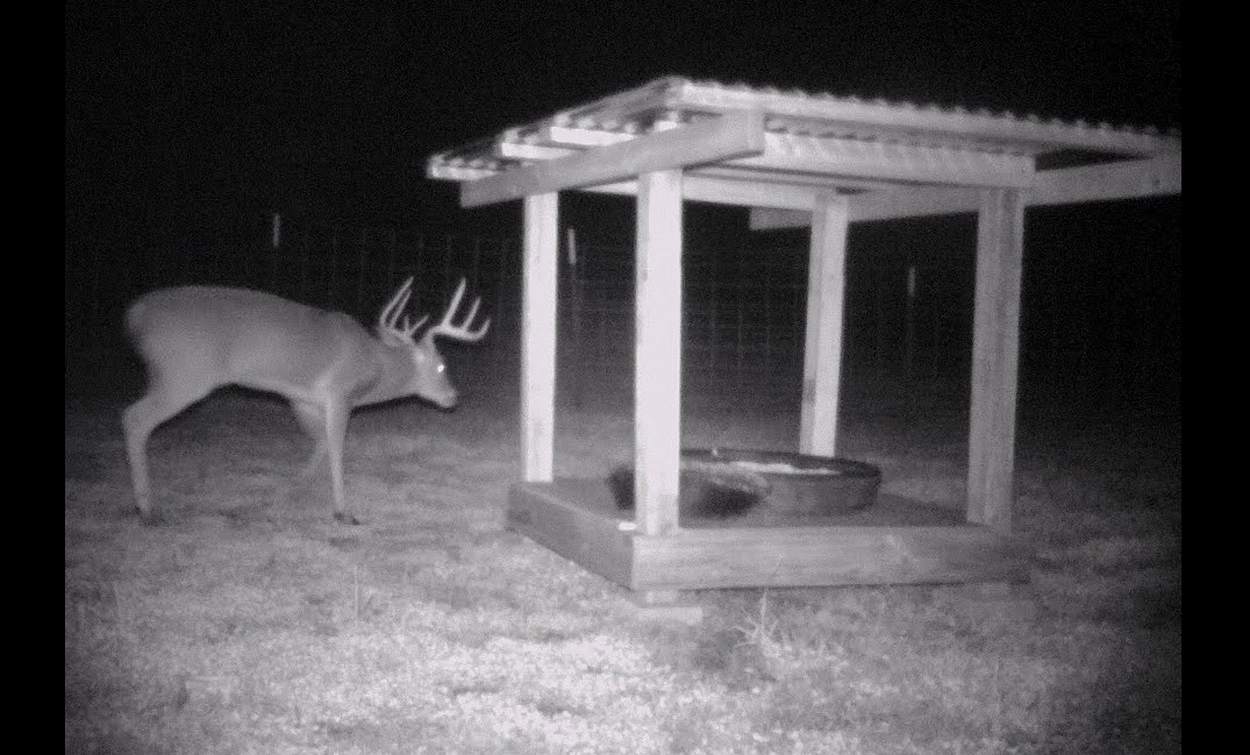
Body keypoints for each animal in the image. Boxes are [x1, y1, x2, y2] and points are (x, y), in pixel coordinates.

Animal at [121, 277, 490, 525]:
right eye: (442, 365)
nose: (453, 397)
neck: (374, 364)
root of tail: (134, 315)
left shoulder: (303, 399)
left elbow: (321, 444)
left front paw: (296, 487)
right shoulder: (339, 393)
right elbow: (337, 447)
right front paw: (343, 511)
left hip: (165, 375)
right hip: (185, 374)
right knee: (134, 418)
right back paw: (146, 509)